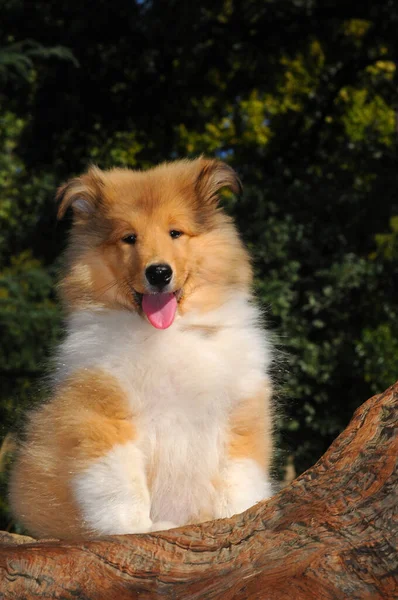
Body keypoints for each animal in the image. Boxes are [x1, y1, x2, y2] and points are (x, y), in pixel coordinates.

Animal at [9, 158, 272, 540]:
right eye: (129, 238)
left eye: (175, 233)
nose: (158, 273)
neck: (166, 334)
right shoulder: (103, 415)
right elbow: (123, 487)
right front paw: (137, 529)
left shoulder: (241, 413)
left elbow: (238, 480)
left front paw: (235, 519)